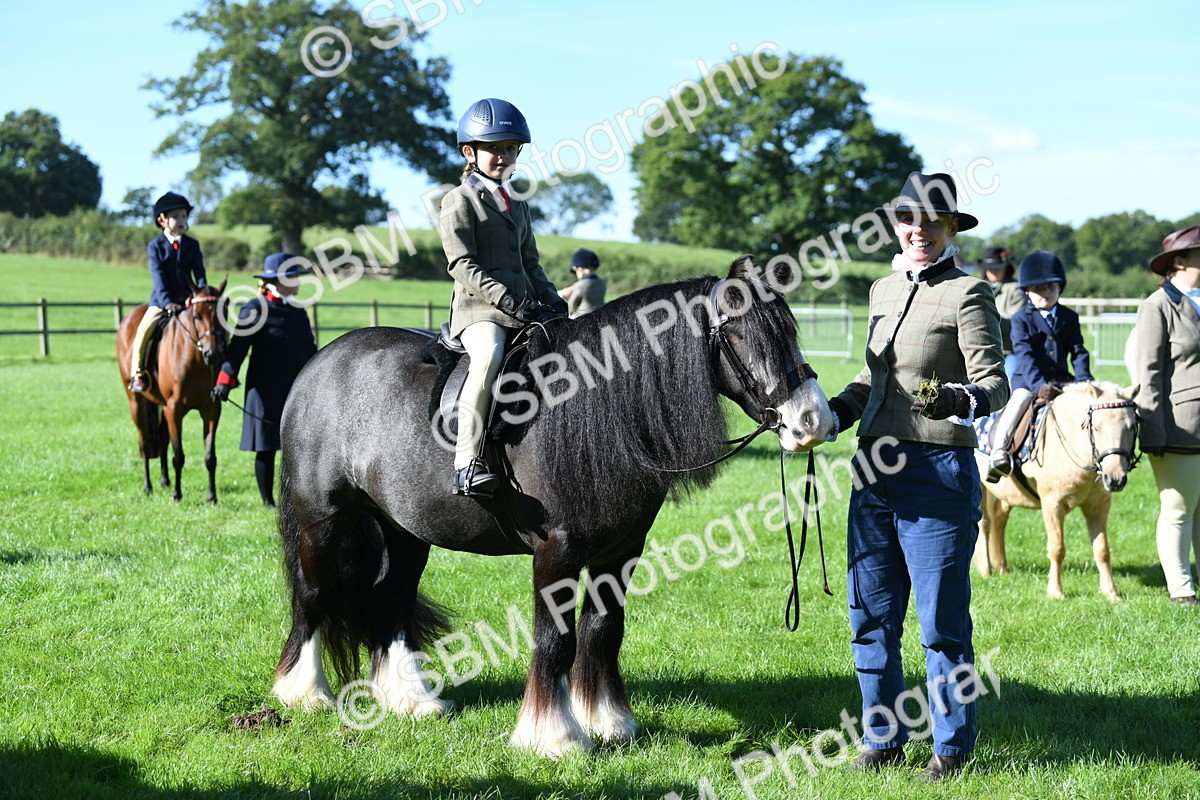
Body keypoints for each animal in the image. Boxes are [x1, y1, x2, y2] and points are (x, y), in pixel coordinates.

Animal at [116, 280, 228, 503]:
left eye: (223, 314)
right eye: (196, 316)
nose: (212, 354)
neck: (194, 358)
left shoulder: (211, 409)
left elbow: (210, 456)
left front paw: (212, 497)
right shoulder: (174, 410)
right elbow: (179, 456)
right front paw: (177, 495)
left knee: (161, 438)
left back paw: (165, 481)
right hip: (137, 402)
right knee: (145, 442)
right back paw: (148, 486)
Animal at [271, 256, 834, 757]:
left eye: (788, 333)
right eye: (740, 336)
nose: (814, 421)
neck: (595, 408)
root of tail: (322, 361)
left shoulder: (620, 552)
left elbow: (603, 631)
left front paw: (608, 722)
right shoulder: (556, 550)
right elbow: (554, 639)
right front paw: (554, 736)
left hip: (405, 531)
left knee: (390, 598)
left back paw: (411, 700)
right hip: (322, 519)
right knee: (313, 594)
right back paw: (304, 693)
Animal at [974, 381, 1140, 602]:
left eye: (1131, 427)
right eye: (1096, 427)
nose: (1115, 479)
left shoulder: (1098, 506)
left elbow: (1102, 550)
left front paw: (1111, 593)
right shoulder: (1053, 505)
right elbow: (1057, 548)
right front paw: (1056, 592)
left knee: (999, 519)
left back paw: (1003, 567)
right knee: (984, 524)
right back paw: (986, 569)